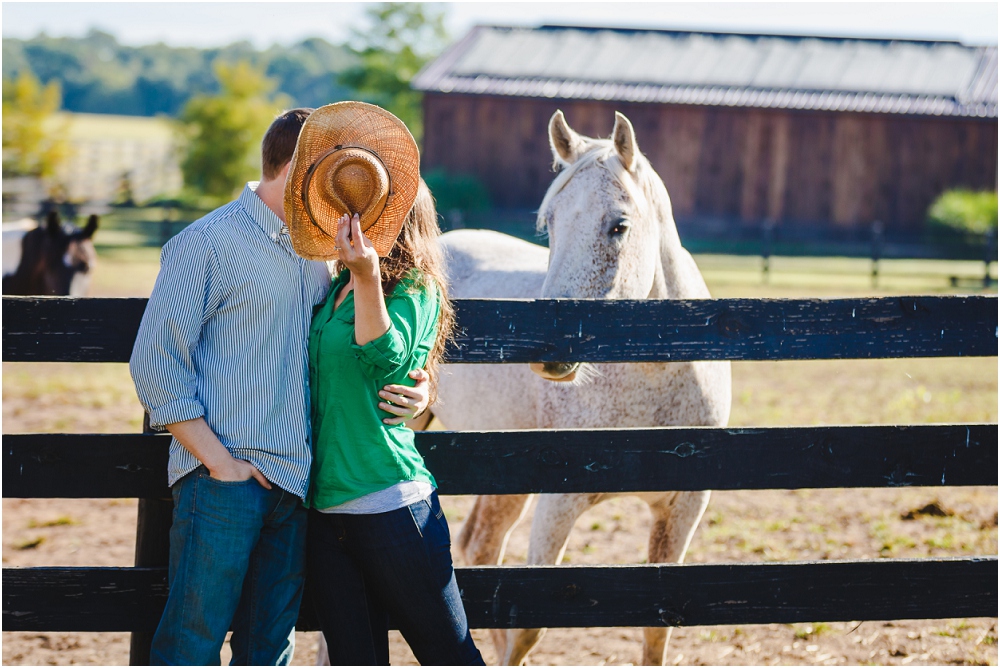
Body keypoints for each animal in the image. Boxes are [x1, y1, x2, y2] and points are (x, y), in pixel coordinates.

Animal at [434, 109, 732, 664]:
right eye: (549, 223)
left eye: (619, 225)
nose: (547, 349)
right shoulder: (558, 504)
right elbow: (530, 626)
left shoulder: (682, 510)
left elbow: (657, 627)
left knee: (480, 545)